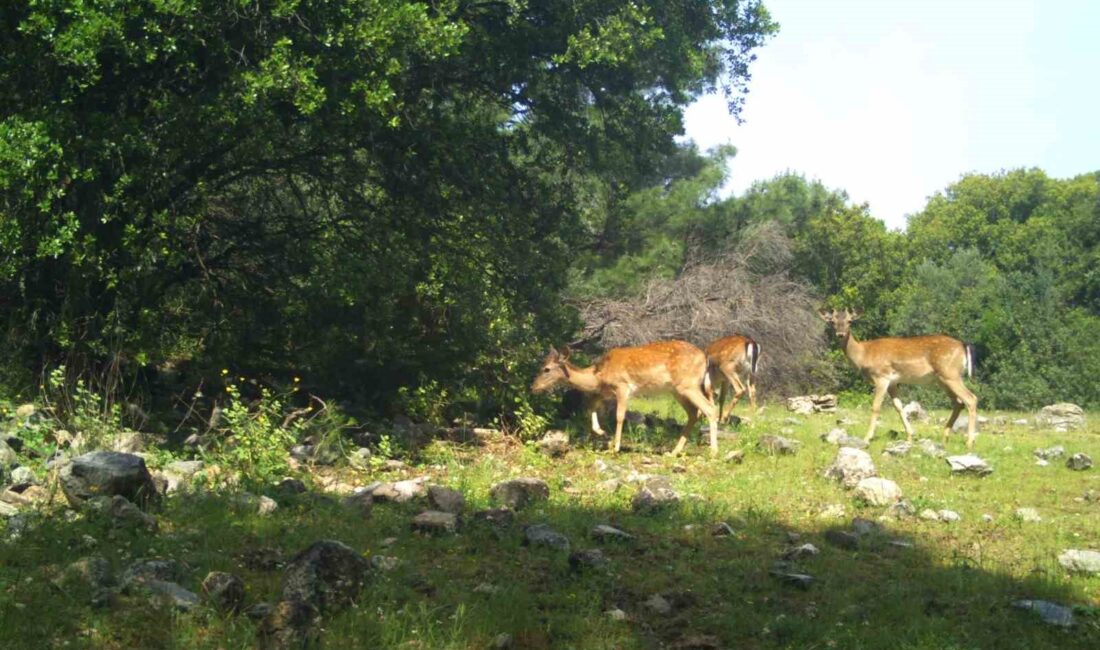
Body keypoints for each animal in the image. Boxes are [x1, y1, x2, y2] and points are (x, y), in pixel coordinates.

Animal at [532, 340, 721, 457]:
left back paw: (713, 451)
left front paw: (615, 447)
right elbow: (591, 406)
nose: (533, 387)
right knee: (694, 413)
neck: (598, 375)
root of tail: (705, 358)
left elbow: (619, 416)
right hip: (677, 390)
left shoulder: (622, 386)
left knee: (710, 409)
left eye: (546, 369)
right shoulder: (606, 392)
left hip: (688, 385)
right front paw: (602, 433)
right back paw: (673, 452)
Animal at [818, 307, 981, 448]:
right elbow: (899, 406)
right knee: (958, 402)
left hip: (950, 374)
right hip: (943, 379)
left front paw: (867, 437)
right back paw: (945, 436)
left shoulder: (881, 376)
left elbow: (876, 407)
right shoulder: (893, 382)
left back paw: (969, 442)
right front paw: (910, 436)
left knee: (970, 398)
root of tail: (963, 345)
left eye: (850, 321)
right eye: (832, 321)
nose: (840, 334)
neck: (864, 354)